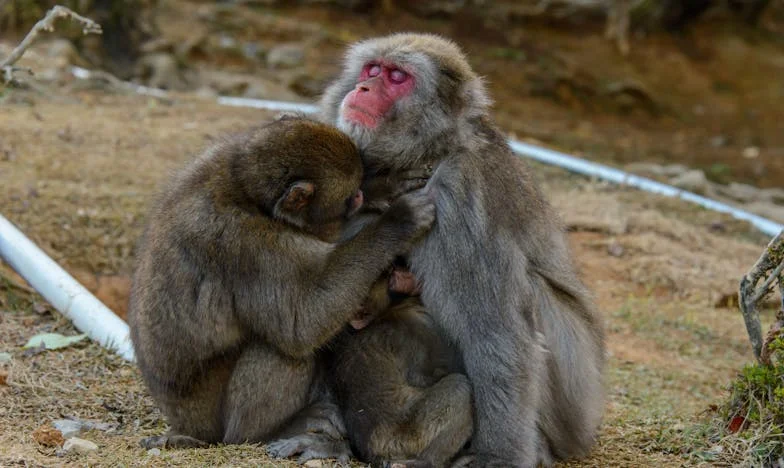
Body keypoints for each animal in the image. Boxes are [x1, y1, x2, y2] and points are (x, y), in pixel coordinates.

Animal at [126, 117, 438, 458]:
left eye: (356, 191)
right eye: (348, 197)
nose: (359, 196)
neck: (247, 193)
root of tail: (186, 426)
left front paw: (384, 187)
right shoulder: (244, 243)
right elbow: (303, 321)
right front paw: (398, 221)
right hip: (217, 423)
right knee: (281, 351)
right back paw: (271, 430)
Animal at [318, 34, 608, 466]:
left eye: (397, 77)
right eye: (372, 69)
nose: (364, 88)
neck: (429, 155)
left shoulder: (461, 195)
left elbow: (499, 336)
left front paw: (500, 457)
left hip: (577, 391)